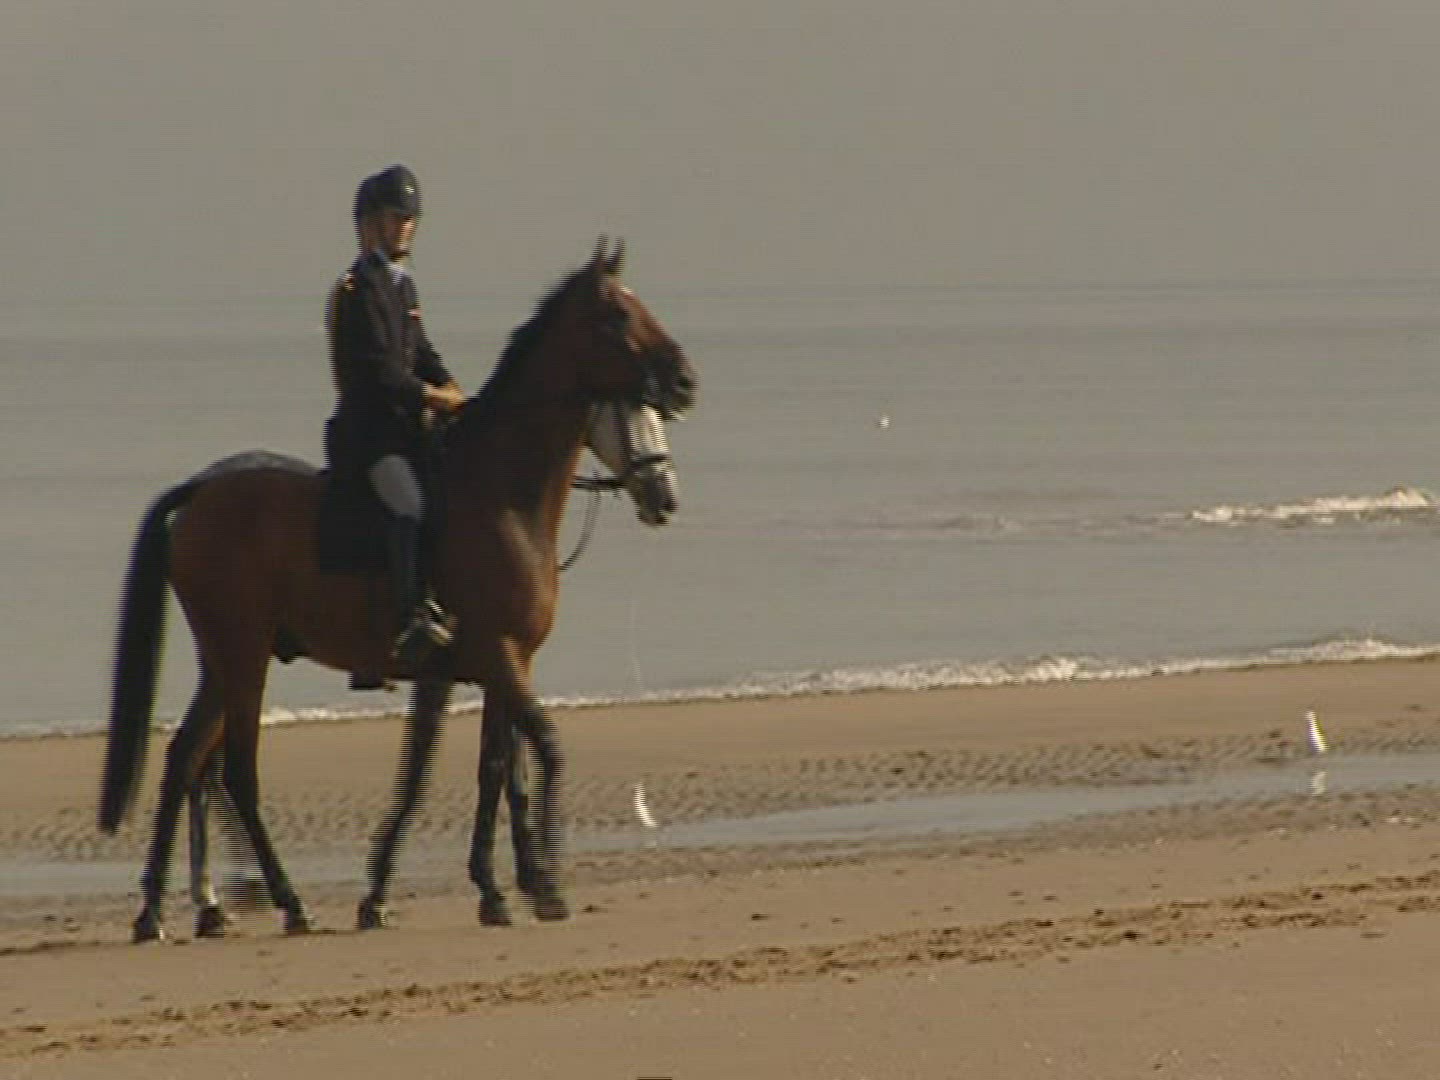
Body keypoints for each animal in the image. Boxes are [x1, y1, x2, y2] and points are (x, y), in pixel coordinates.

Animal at [99, 240, 698, 942]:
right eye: (617, 316)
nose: (685, 382)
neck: (502, 493)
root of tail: (201, 492)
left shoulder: (504, 663)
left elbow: (496, 771)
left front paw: (499, 888)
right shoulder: (496, 657)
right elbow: (540, 754)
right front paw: (540, 879)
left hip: (225, 660)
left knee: (186, 757)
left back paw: (159, 910)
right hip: (243, 656)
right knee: (236, 771)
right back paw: (285, 902)